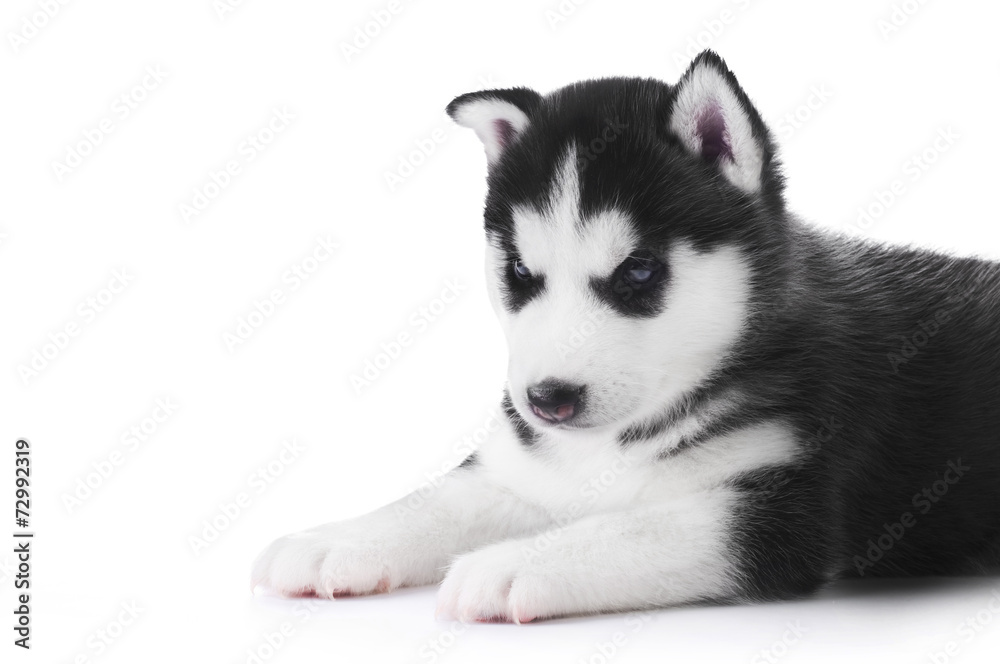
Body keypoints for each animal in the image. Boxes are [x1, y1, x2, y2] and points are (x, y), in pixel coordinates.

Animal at [254, 52, 1000, 624]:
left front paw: (509, 564)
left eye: (638, 271)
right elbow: (436, 501)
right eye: (519, 273)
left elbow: (636, 524)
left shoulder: (784, 511)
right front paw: (338, 539)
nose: (548, 400)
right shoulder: (528, 470)